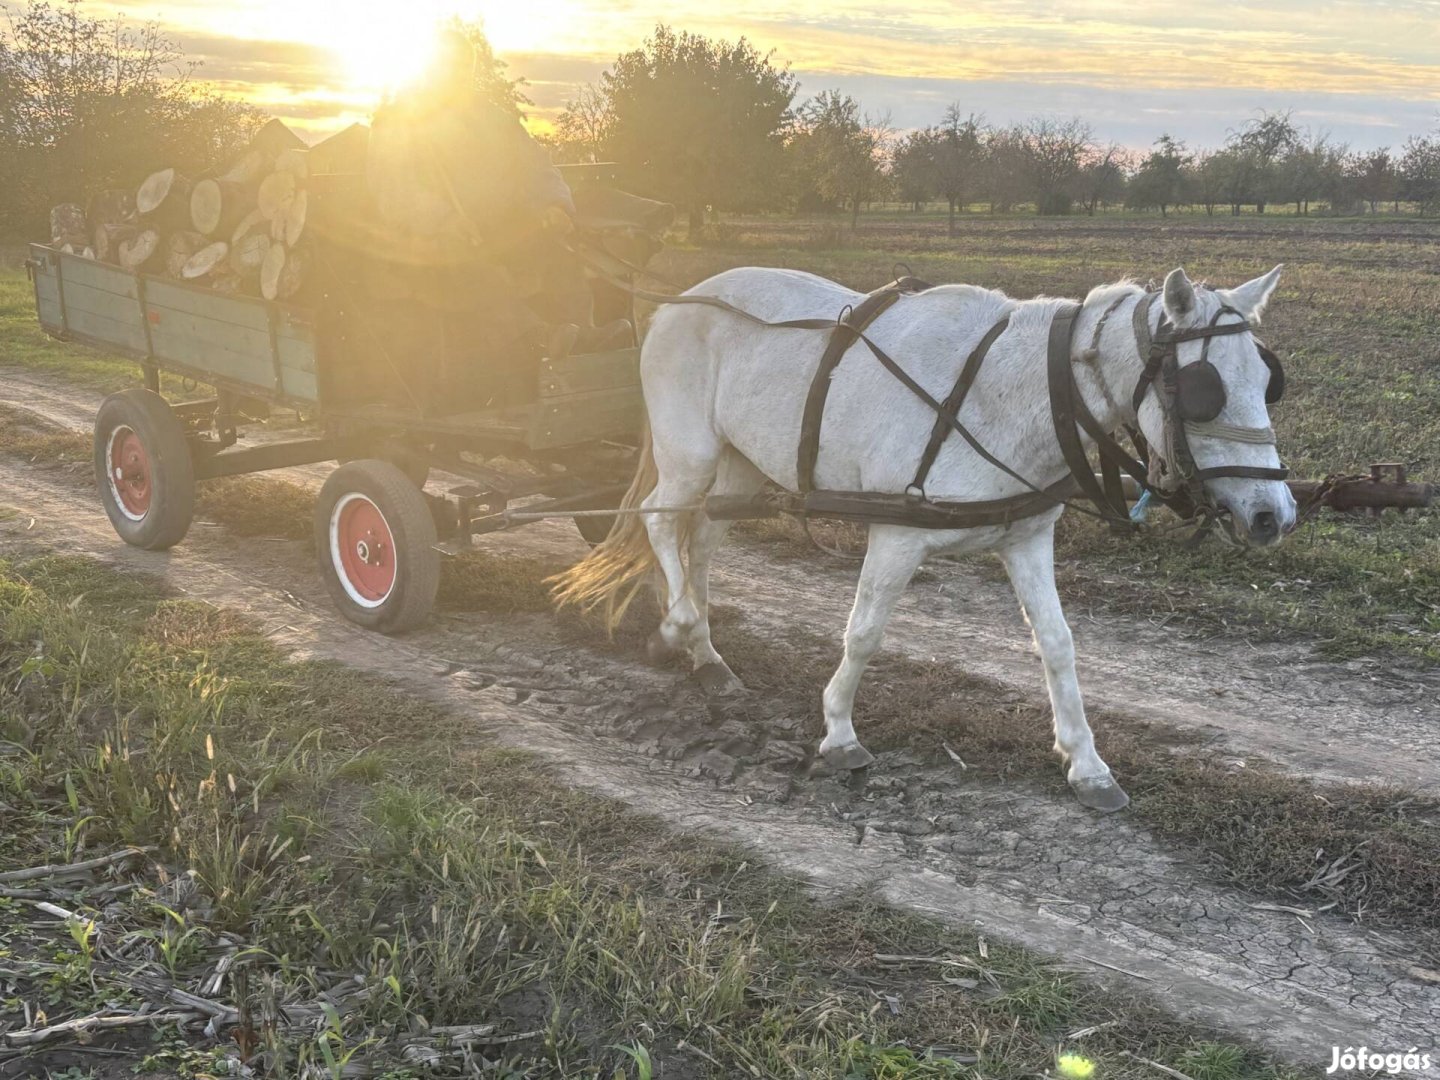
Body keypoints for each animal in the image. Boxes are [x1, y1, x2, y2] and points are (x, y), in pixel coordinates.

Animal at [552, 269, 1296, 812]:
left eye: (1269, 381)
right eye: (1204, 389)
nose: (1275, 515)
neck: (1007, 395)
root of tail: (679, 299)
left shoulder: (1027, 540)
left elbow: (1057, 646)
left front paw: (1085, 762)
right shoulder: (896, 536)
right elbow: (864, 632)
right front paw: (840, 731)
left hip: (739, 463)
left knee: (700, 539)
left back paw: (704, 652)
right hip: (689, 450)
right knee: (660, 519)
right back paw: (678, 624)